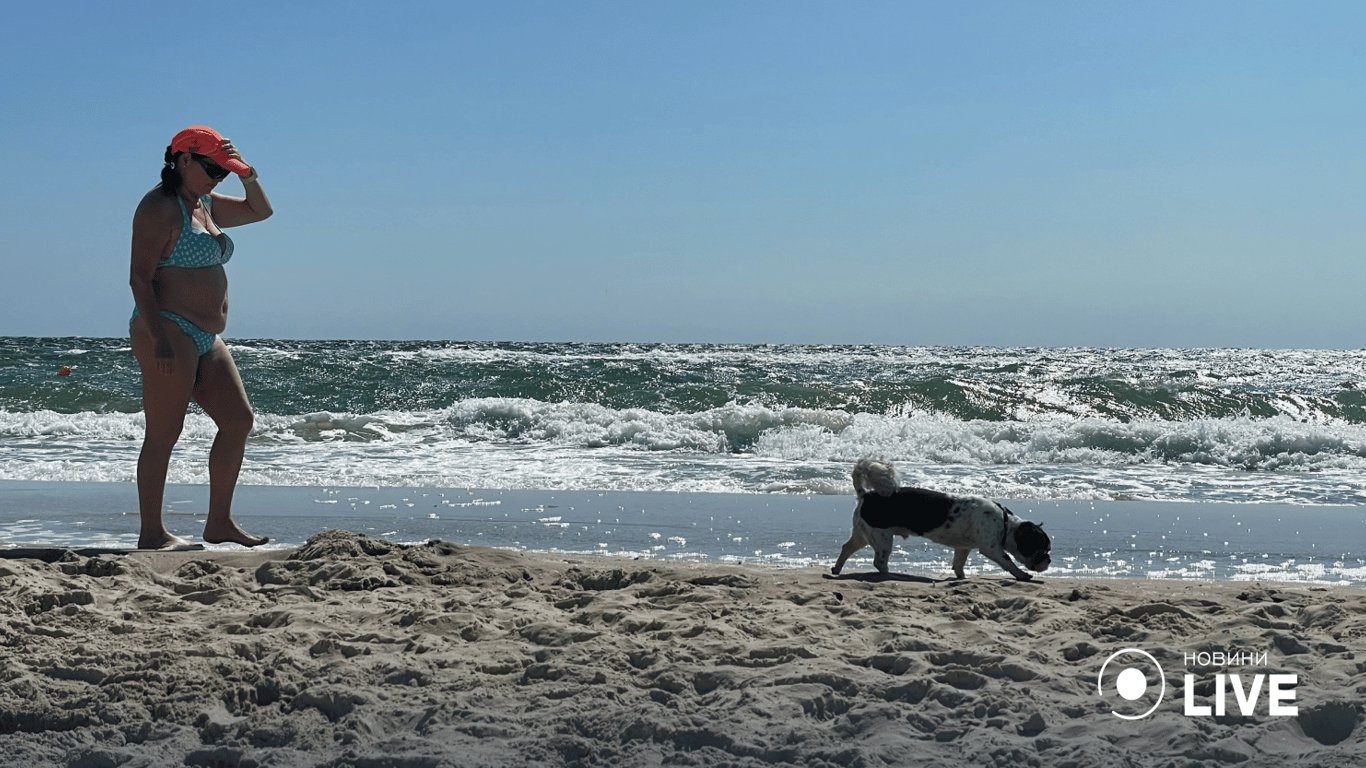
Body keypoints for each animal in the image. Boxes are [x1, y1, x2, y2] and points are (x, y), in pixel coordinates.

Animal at [825, 456, 1049, 576]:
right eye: (1043, 549)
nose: (1049, 561)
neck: (1005, 523)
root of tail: (866, 495)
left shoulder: (963, 547)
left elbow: (958, 564)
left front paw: (961, 577)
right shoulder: (991, 548)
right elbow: (1008, 561)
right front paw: (1022, 575)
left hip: (864, 534)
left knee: (846, 548)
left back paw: (836, 569)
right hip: (882, 538)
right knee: (878, 562)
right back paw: (889, 574)